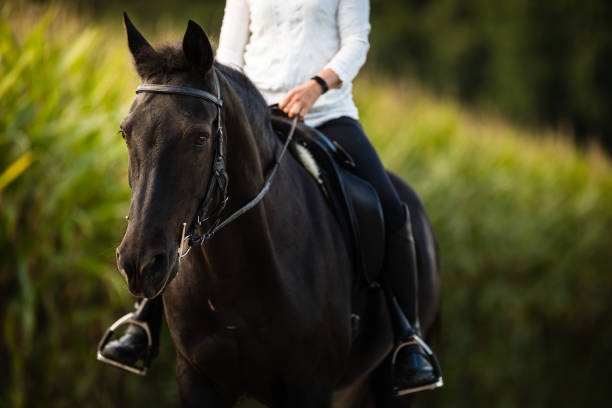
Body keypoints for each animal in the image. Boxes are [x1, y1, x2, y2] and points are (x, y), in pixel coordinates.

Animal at [115, 15, 440, 408]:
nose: (140, 264)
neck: (235, 274)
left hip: (386, 384)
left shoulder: (309, 387)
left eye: (200, 138)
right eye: (125, 132)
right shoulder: (197, 380)